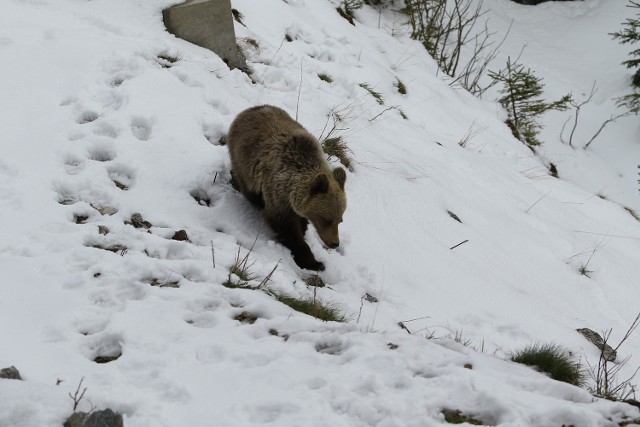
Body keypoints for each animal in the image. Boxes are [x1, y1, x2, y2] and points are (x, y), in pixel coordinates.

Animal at [225, 105, 344, 270]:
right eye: (326, 219)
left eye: (340, 220)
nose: (334, 243)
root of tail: (248, 110)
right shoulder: (277, 193)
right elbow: (285, 227)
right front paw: (313, 261)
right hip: (242, 160)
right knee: (249, 190)